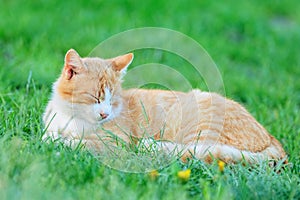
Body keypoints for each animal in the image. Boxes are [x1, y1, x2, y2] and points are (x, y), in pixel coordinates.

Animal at [42, 48, 286, 164]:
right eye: (95, 97)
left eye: (113, 101)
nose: (105, 114)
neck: (71, 118)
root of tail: (273, 140)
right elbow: (49, 135)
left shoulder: (115, 143)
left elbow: (80, 143)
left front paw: (61, 142)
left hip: (199, 132)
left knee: (187, 153)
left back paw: (150, 147)